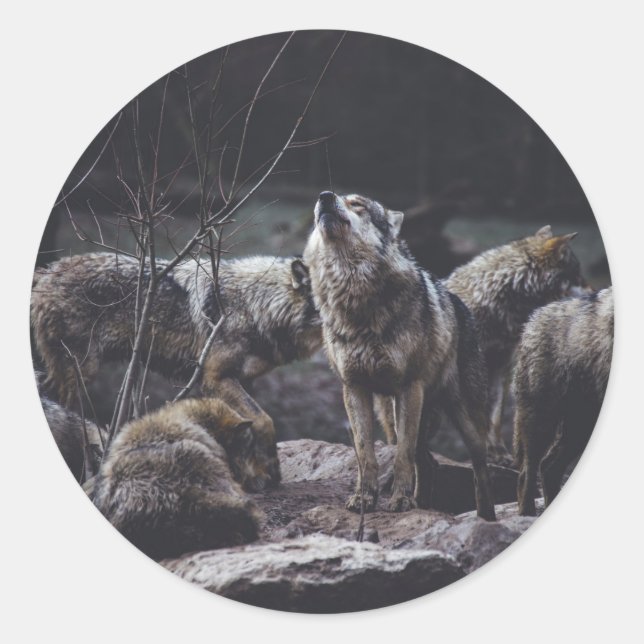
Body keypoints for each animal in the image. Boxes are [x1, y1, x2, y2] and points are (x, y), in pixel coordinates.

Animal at [31, 253, 322, 489]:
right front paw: (271, 471)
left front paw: (256, 475)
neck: (256, 305)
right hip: (80, 372)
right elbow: (264, 420)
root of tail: (46, 271)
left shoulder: (240, 380)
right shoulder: (215, 377)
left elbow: (246, 428)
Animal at [303, 191, 496, 520]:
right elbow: (365, 454)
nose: (325, 197)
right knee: (428, 462)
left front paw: (401, 501)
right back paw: (423, 504)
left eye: (357, 204)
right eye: (333, 197)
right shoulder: (354, 388)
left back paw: (486, 517)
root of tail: (460, 304)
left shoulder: (409, 387)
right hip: (392, 416)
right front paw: (364, 498)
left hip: (464, 419)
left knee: (479, 469)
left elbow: (402, 456)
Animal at [513, 287, 613, 515]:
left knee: (548, 467)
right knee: (527, 471)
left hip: (581, 426)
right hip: (543, 421)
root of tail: (532, 319)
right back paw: (527, 513)